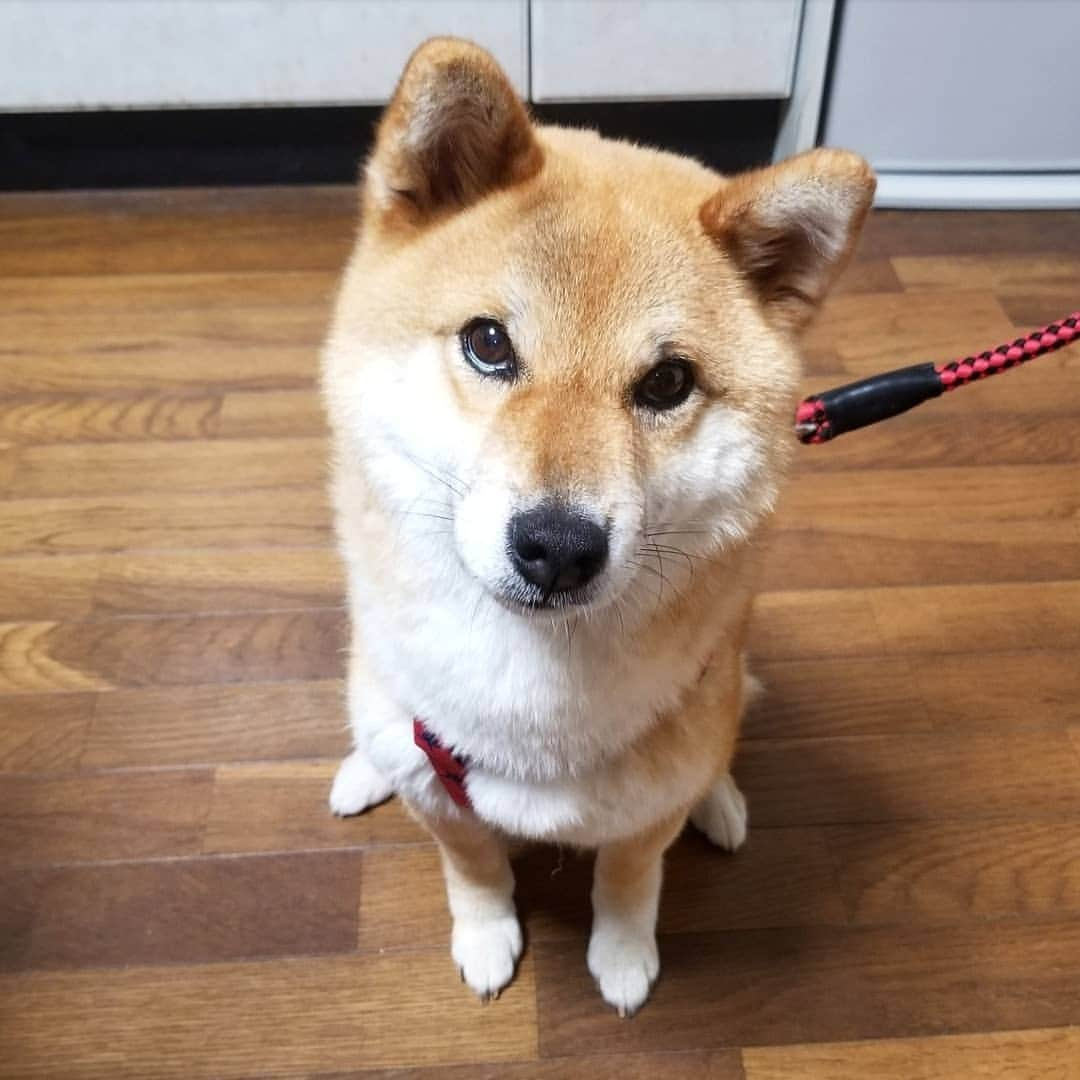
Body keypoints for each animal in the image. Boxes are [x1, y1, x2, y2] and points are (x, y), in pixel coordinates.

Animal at [321, 35, 876, 1010]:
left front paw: (621, 955)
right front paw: (487, 934)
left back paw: (720, 801)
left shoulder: (646, 809)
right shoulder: (441, 796)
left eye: (668, 382)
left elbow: (628, 874)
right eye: (488, 343)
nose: (557, 546)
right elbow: (471, 863)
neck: (529, 712)